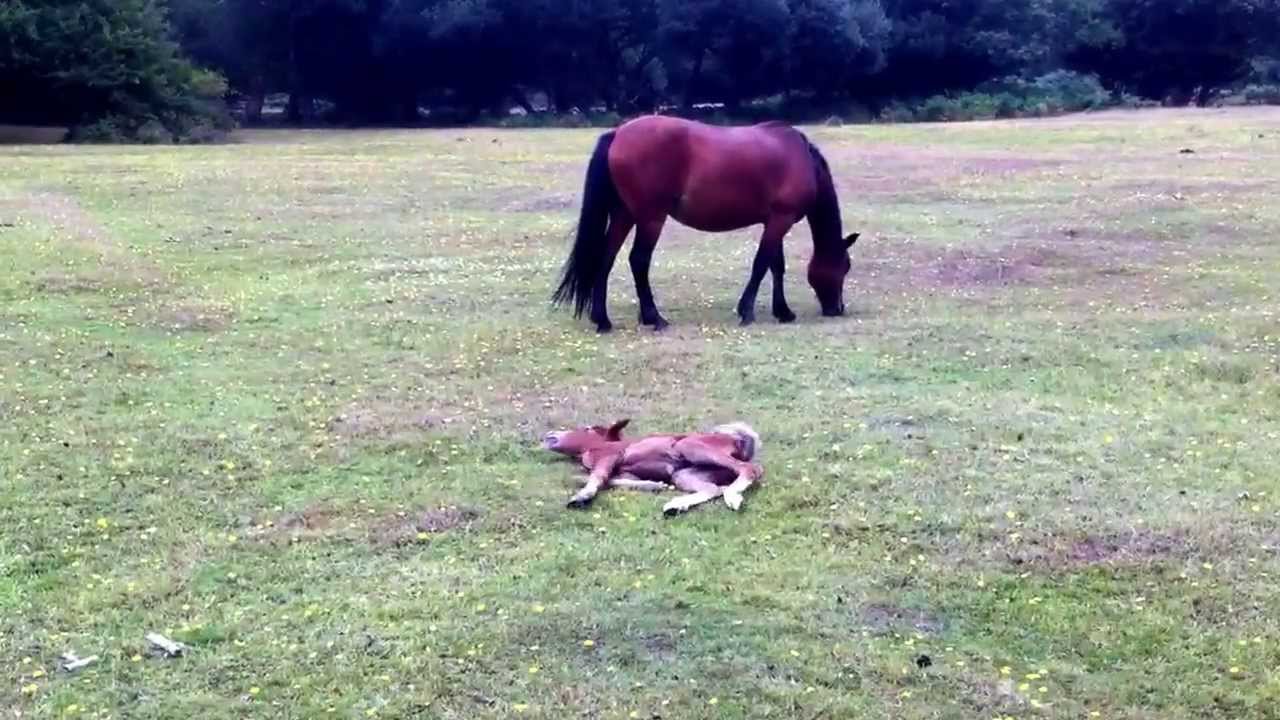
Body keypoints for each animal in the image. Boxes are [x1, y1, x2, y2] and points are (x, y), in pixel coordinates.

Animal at [542, 419, 764, 516]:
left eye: (586, 428)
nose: (549, 434)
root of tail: (738, 441)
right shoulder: (625, 472)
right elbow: (609, 480)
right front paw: (654, 485)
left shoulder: (609, 456)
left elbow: (596, 477)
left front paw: (581, 498)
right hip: (683, 474)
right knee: (714, 489)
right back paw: (676, 506)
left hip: (689, 446)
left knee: (751, 469)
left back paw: (733, 498)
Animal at [551, 115, 859, 333]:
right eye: (844, 266)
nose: (837, 308)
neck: (800, 157)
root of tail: (618, 133)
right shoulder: (780, 220)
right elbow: (762, 264)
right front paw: (747, 311)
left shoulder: (774, 221)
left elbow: (775, 266)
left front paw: (783, 311)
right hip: (650, 218)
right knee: (638, 261)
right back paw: (654, 318)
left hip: (624, 214)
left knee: (605, 259)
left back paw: (602, 320)